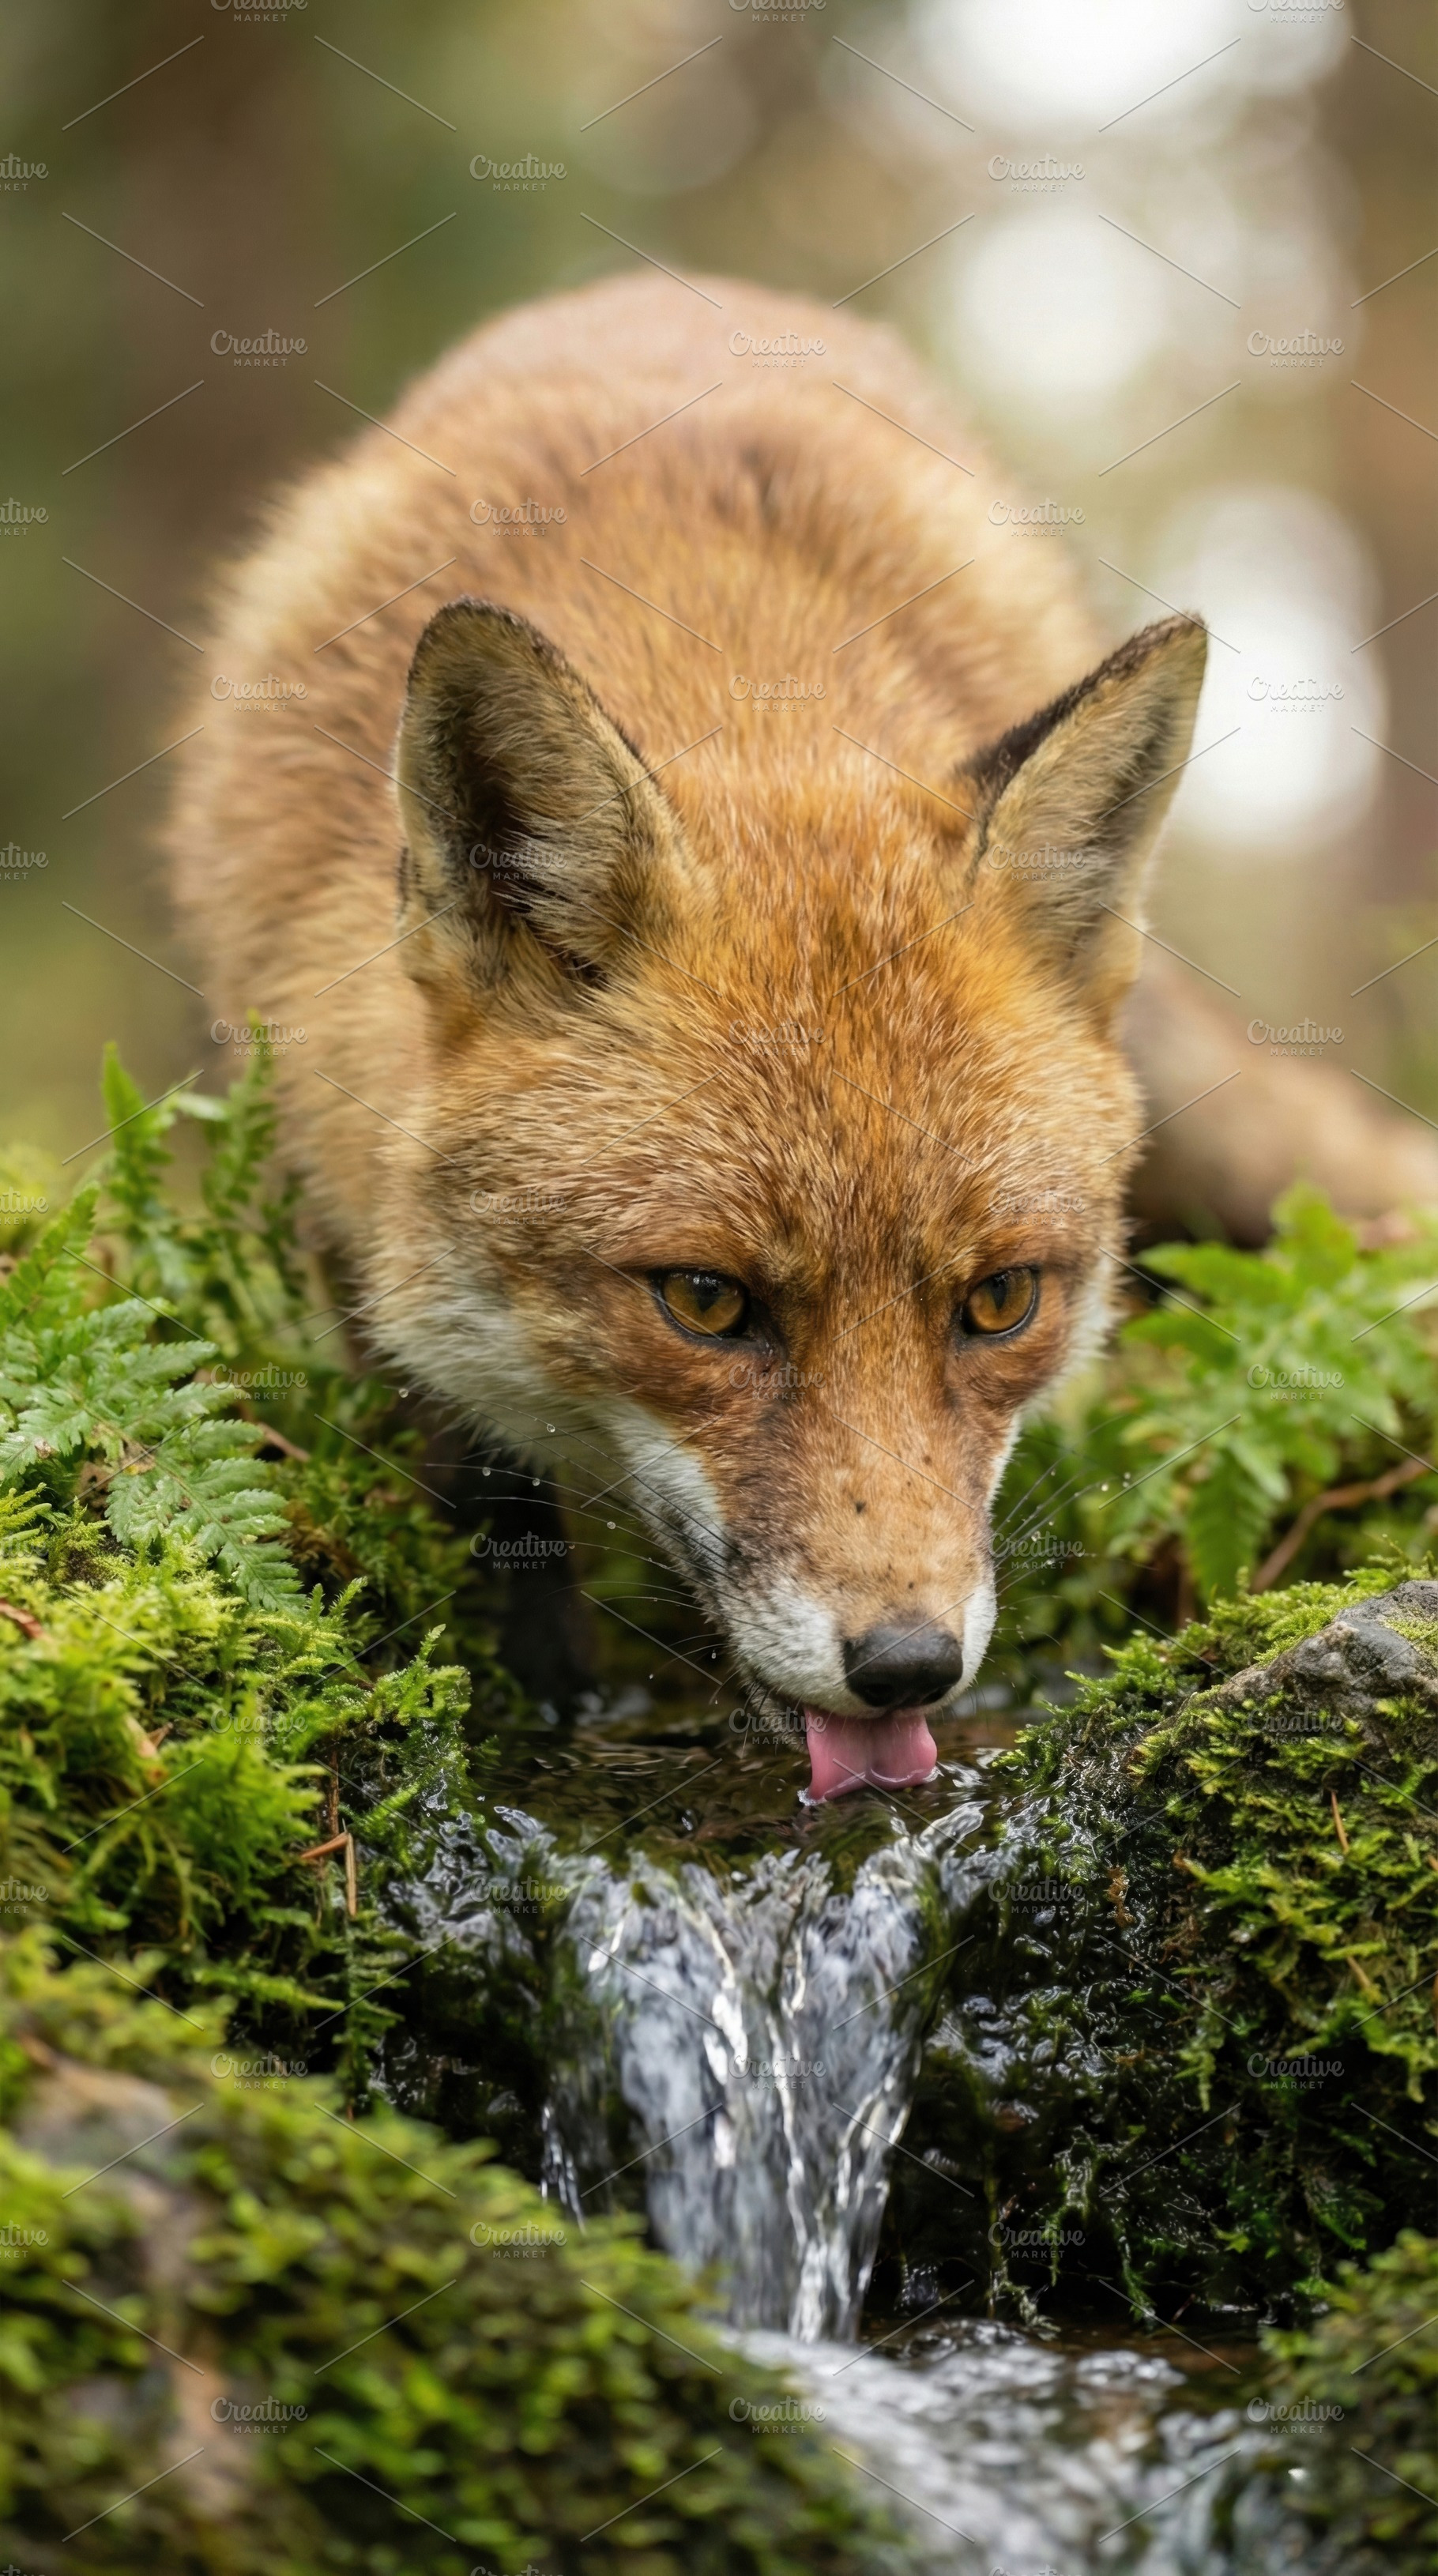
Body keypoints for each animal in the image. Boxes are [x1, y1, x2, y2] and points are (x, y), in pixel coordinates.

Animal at [170, 272, 1438, 1802]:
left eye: (1000, 1301)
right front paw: (540, 1698)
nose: (909, 1667)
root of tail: (660, 284)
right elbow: (485, 1488)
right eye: (706, 1303)